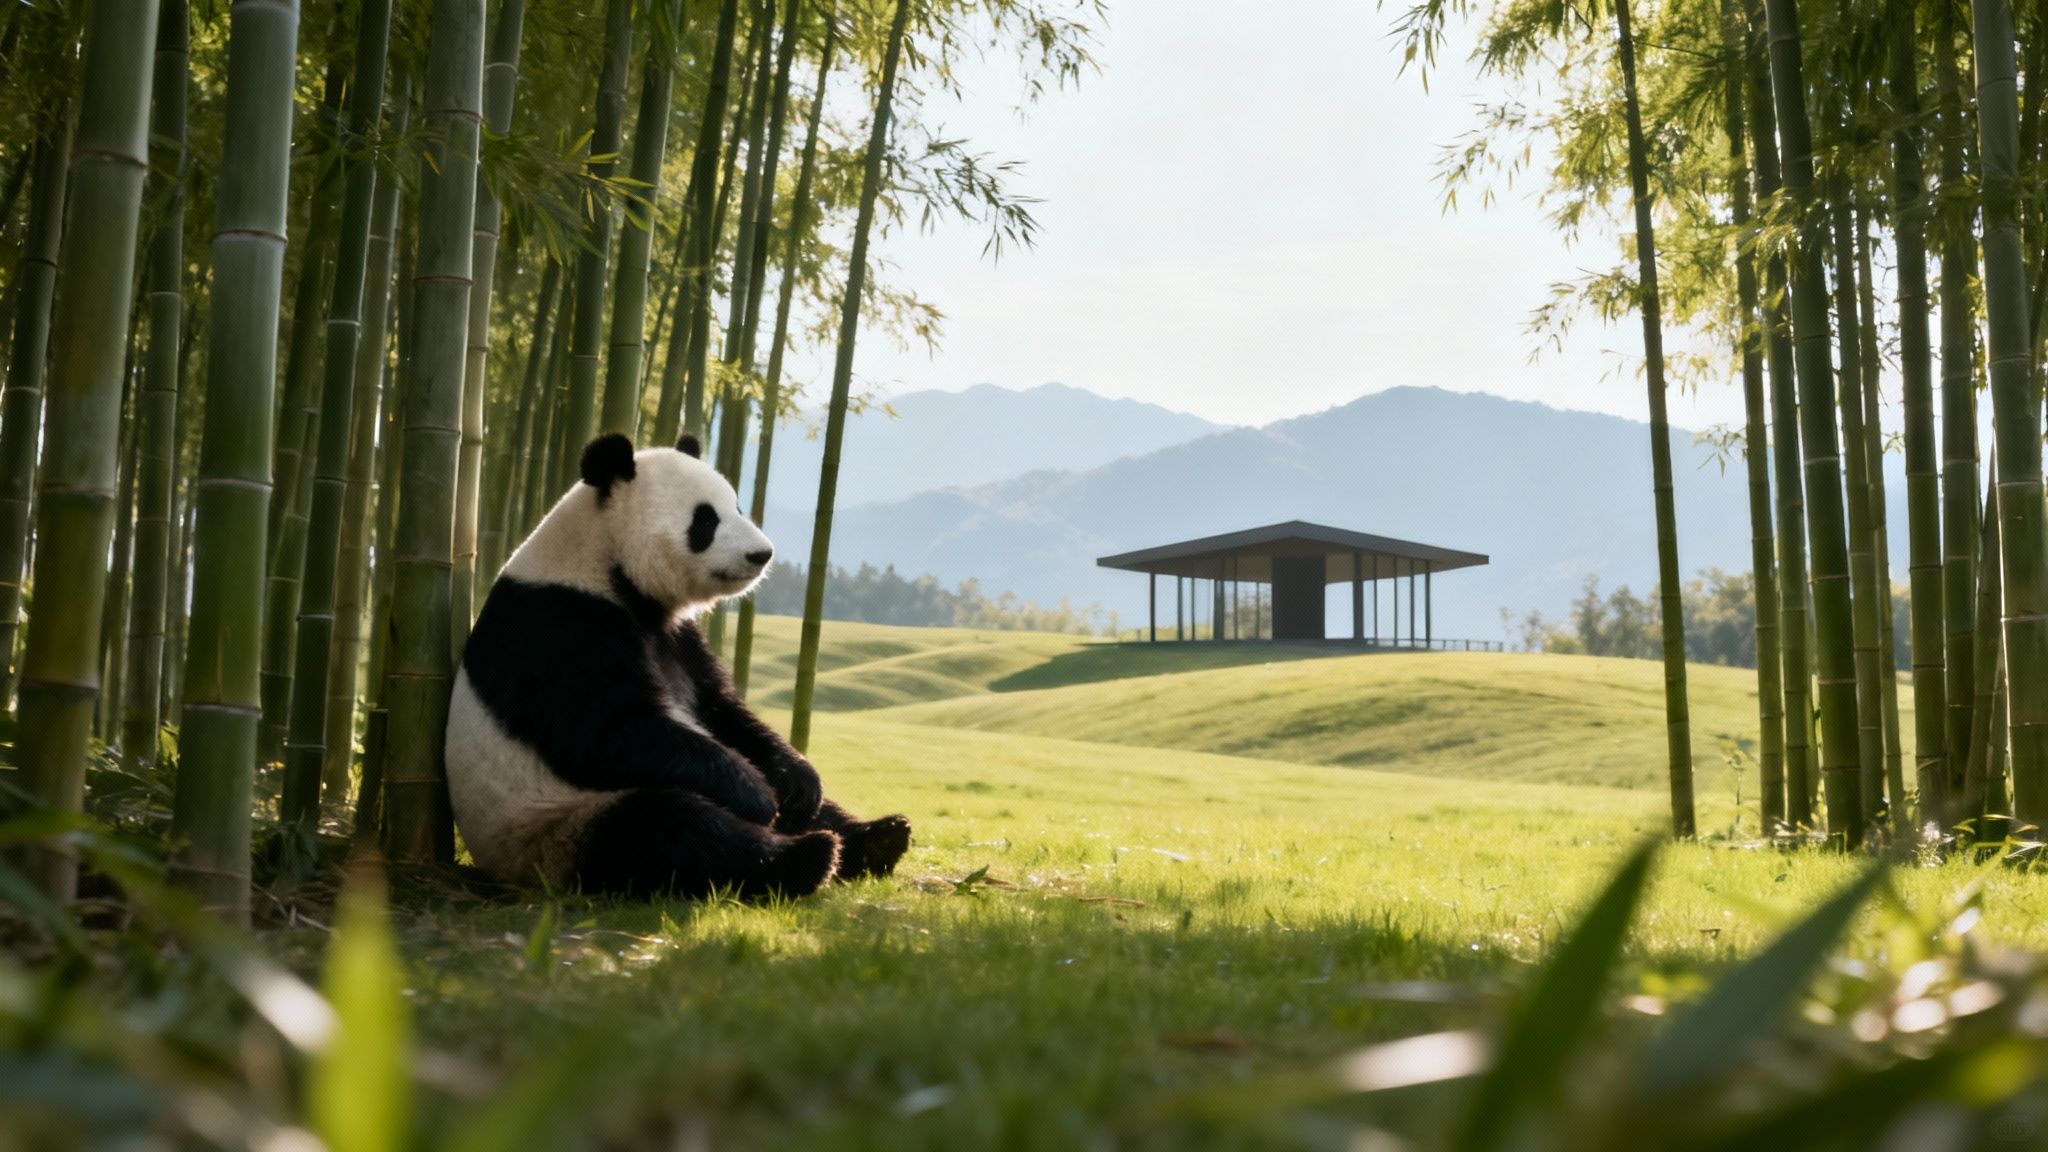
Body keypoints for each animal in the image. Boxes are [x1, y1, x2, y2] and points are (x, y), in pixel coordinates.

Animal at [444, 431, 911, 899]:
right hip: (555, 830)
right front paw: (756, 795)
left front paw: (797, 777)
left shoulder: (679, 640)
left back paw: (878, 838)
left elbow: (721, 709)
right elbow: (611, 730)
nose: (761, 554)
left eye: (737, 507)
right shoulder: (559, 625)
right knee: (668, 828)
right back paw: (807, 856)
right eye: (705, 521)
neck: (606, 567)